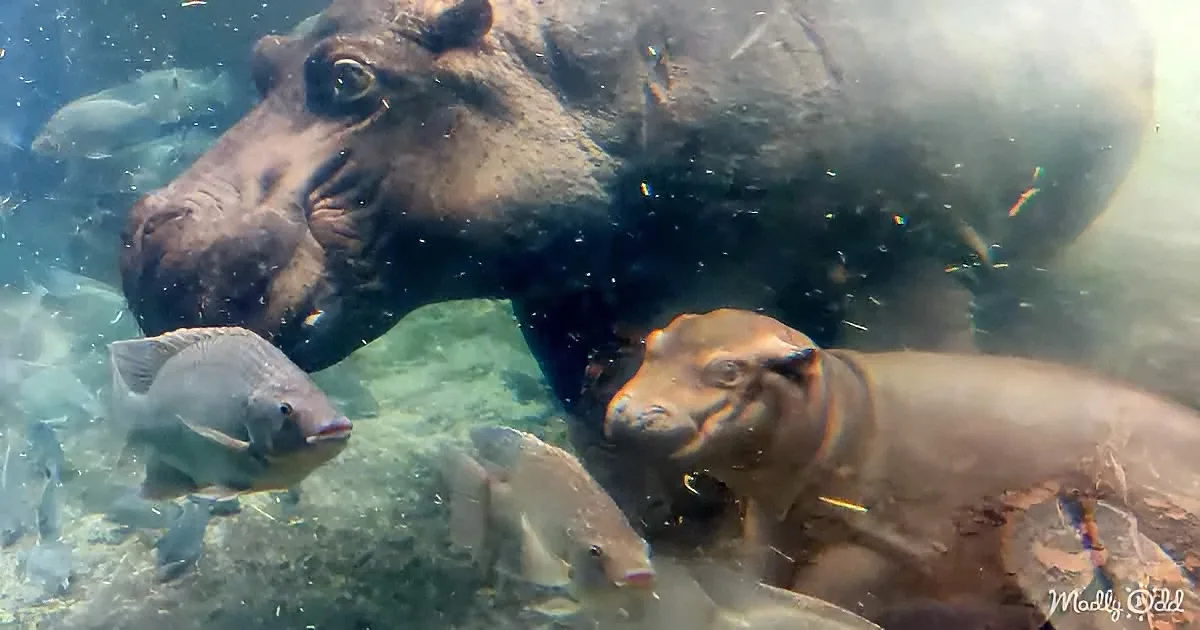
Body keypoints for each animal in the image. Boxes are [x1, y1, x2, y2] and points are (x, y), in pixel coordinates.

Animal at [119, 0, 1154, 556]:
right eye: (260, 60)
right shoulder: (573, 302)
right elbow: (615, 450)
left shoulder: (908, 254)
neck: (566, 69)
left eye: (348, 78)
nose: (148, 235)